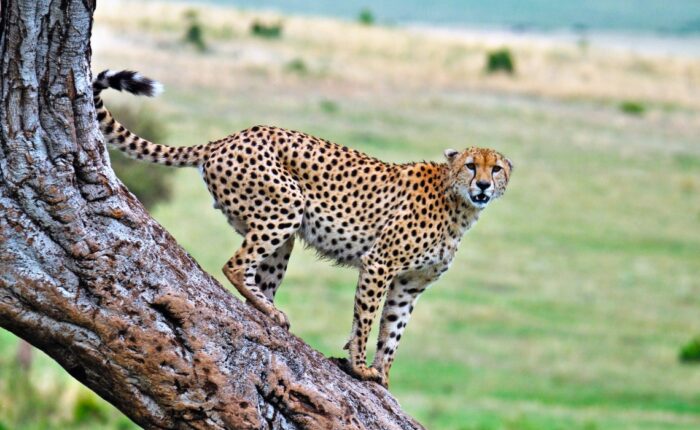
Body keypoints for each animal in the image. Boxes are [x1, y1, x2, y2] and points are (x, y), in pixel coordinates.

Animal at [92, 70, 513, 388]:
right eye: (471, 165)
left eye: (496, 168)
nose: (483, 186)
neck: (458, 205)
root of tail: (229, 137)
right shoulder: (379, 264)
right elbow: (366, 319)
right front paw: (359, 366)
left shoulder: (409, 284)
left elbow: (393, 331)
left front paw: (383, 377)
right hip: (287, 206)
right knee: (235, 264)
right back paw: (271, 311)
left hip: (280, 232)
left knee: (258, 273)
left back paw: (268, 309)